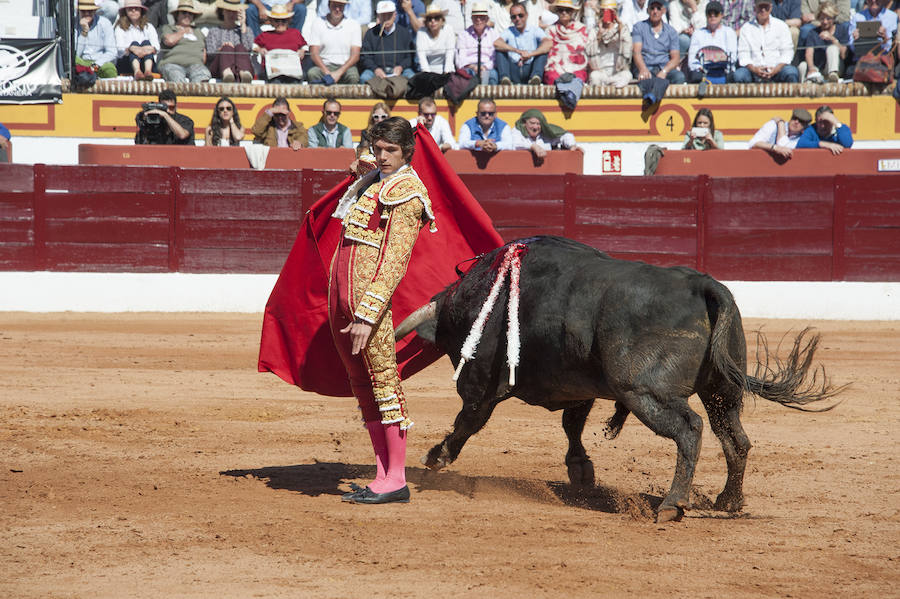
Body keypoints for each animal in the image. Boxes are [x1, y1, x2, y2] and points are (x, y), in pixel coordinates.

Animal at [396, 237, 844, 524]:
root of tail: (703, 284)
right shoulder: (576, 385)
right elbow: (572, 424)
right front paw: (581, 470)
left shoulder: (480, 382)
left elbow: (468, 420)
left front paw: (436, 457)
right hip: (722, 390)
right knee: (734, 437)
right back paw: (728, 501)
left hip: (644, 392)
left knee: (690, 429)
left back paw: (671, 505)